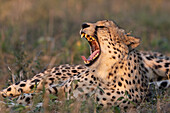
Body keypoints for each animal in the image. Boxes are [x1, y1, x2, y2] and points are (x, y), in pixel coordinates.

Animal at [0, 19, 170, 111]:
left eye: (102, 27)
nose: (83, 24)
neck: (103, 72)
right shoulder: (61, 89)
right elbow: (34, 96)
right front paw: (14, 104)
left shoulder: (82, 103)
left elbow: (47, 104)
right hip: (36, 81)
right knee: (13, 89)